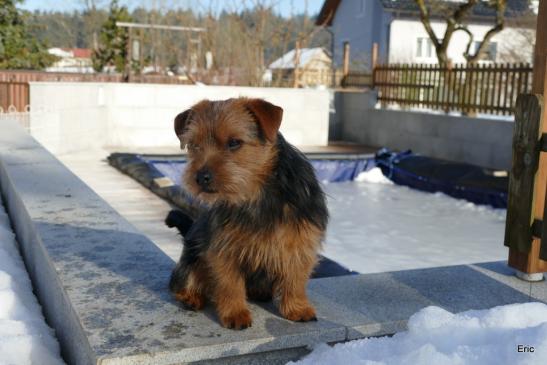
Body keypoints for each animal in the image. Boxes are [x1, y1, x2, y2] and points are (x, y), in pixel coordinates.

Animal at [167, 97, 328, 330]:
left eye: (234, 142)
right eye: (194, 145)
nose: (200, 177)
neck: (256, 194)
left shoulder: (301, 242)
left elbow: (295, 279)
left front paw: (297, 308)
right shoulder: (223, 247)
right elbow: (230, 284)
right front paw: (235, 313)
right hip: (191, 258)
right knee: (180, 282)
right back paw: (191, 297)